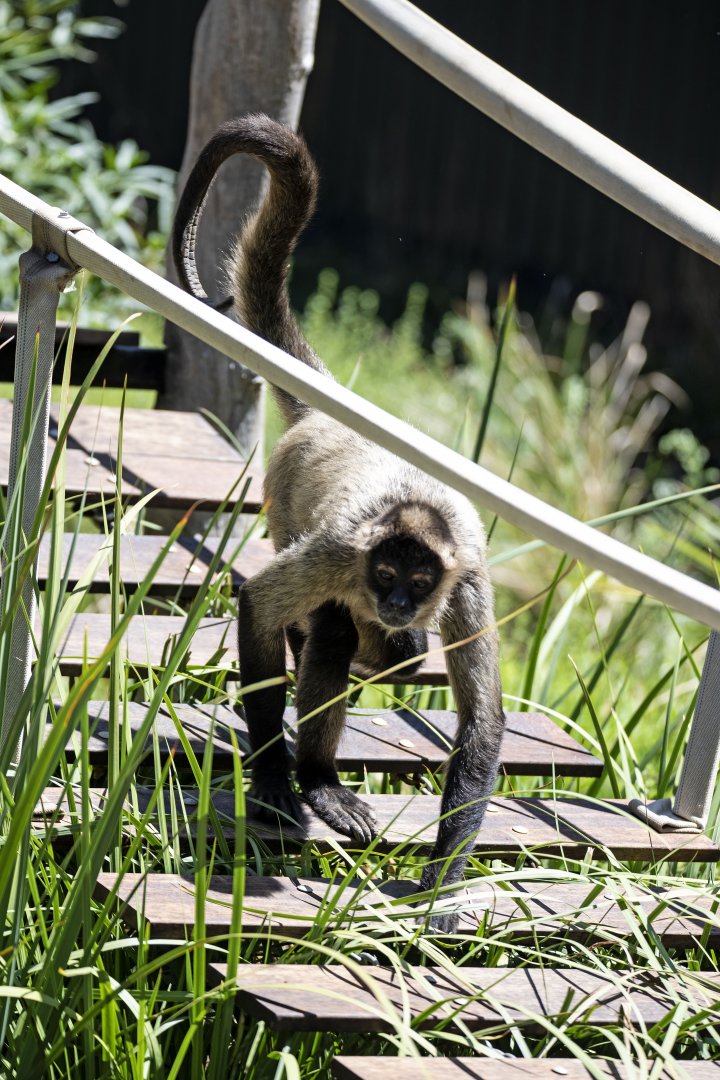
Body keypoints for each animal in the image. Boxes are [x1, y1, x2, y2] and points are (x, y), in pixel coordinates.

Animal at [172, 114, 505, 931]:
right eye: (385, 572)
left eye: (418, 578)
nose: (396, 600)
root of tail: (331, 417)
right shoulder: (340, 553)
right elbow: (260, 603)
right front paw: (276, 784)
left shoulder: (467, 581)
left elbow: (481, 725)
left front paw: (442, 883)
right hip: (288, 503)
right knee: (331, 633)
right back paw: (317, 775)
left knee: (386, 649)